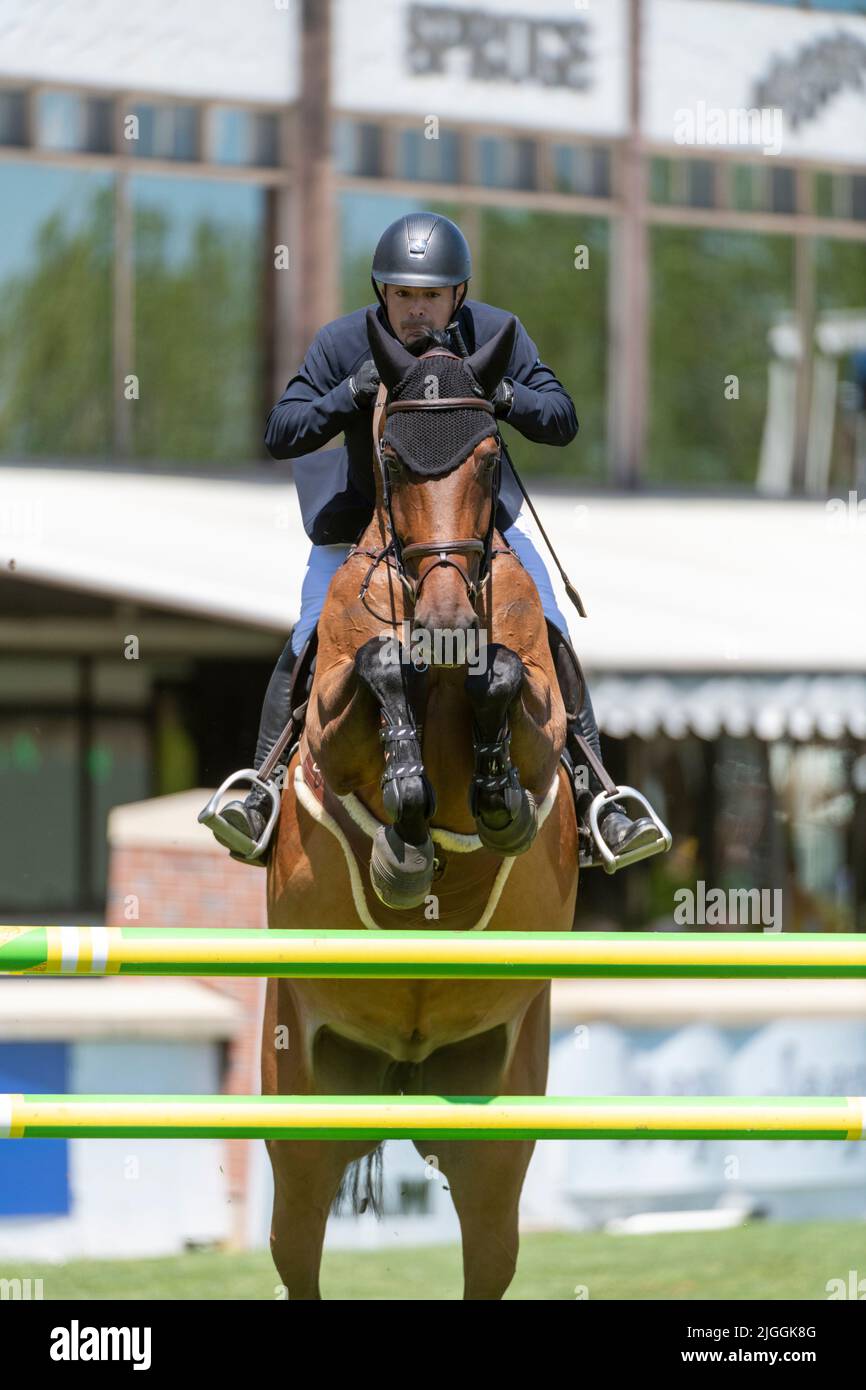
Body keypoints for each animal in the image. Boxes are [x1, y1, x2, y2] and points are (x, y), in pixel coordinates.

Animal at [261, 309, 578, 1295]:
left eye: (488, 458)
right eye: (393, 463)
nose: (442, 618)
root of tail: (400, 1079)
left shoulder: (541, 721)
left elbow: (500, 676)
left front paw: (494, 795)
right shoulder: (330, 730)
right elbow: (380, 665)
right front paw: (404, 831)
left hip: (494, 1132)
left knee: (488, 1244)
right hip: (300, 1117)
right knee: (297, 1247)